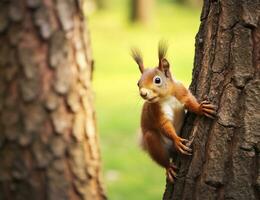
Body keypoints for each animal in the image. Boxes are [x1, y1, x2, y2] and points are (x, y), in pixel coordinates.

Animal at [132, 41, 215, 182]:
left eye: (157, 80)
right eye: (138, 83)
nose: (143, 93)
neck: (166, 97)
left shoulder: (181, 92)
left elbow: (190, 102)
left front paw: (201, 108)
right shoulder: (156, 111)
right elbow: (165, 125)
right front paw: (177, 140)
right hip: (153, 142)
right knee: (162, 159)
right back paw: (169, 167)